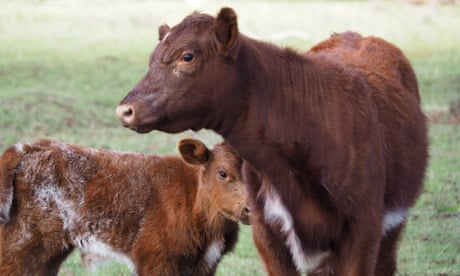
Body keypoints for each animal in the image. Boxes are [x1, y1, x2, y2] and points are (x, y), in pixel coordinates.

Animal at [0, 139, 250, 274]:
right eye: (222, 173)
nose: (250, 209)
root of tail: (29, 147)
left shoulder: (206, 265)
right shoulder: (157, 259)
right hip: (20, 245)